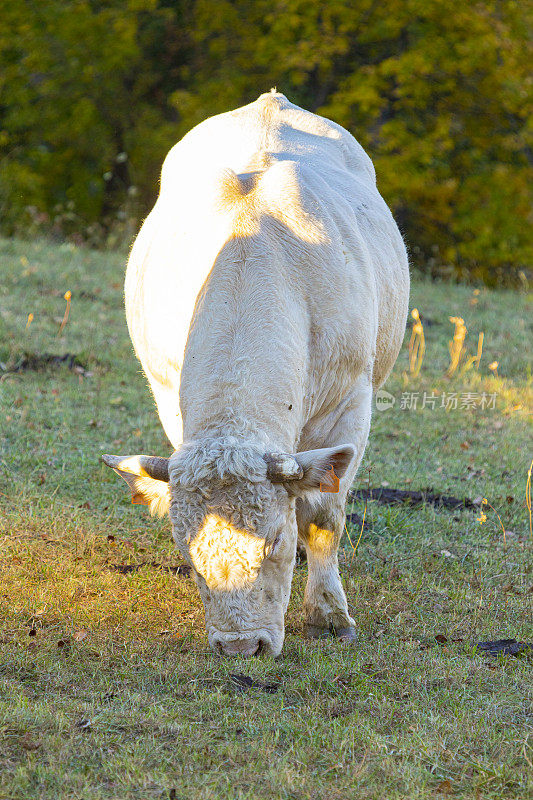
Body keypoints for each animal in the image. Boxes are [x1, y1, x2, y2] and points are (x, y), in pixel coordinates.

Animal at [103, 92, 408, 656]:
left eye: (274, 543)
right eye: (187, 553)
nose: (241, 647)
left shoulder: (351, 404)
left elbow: (324, 516)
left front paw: (329, 614)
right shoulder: (173, 403)